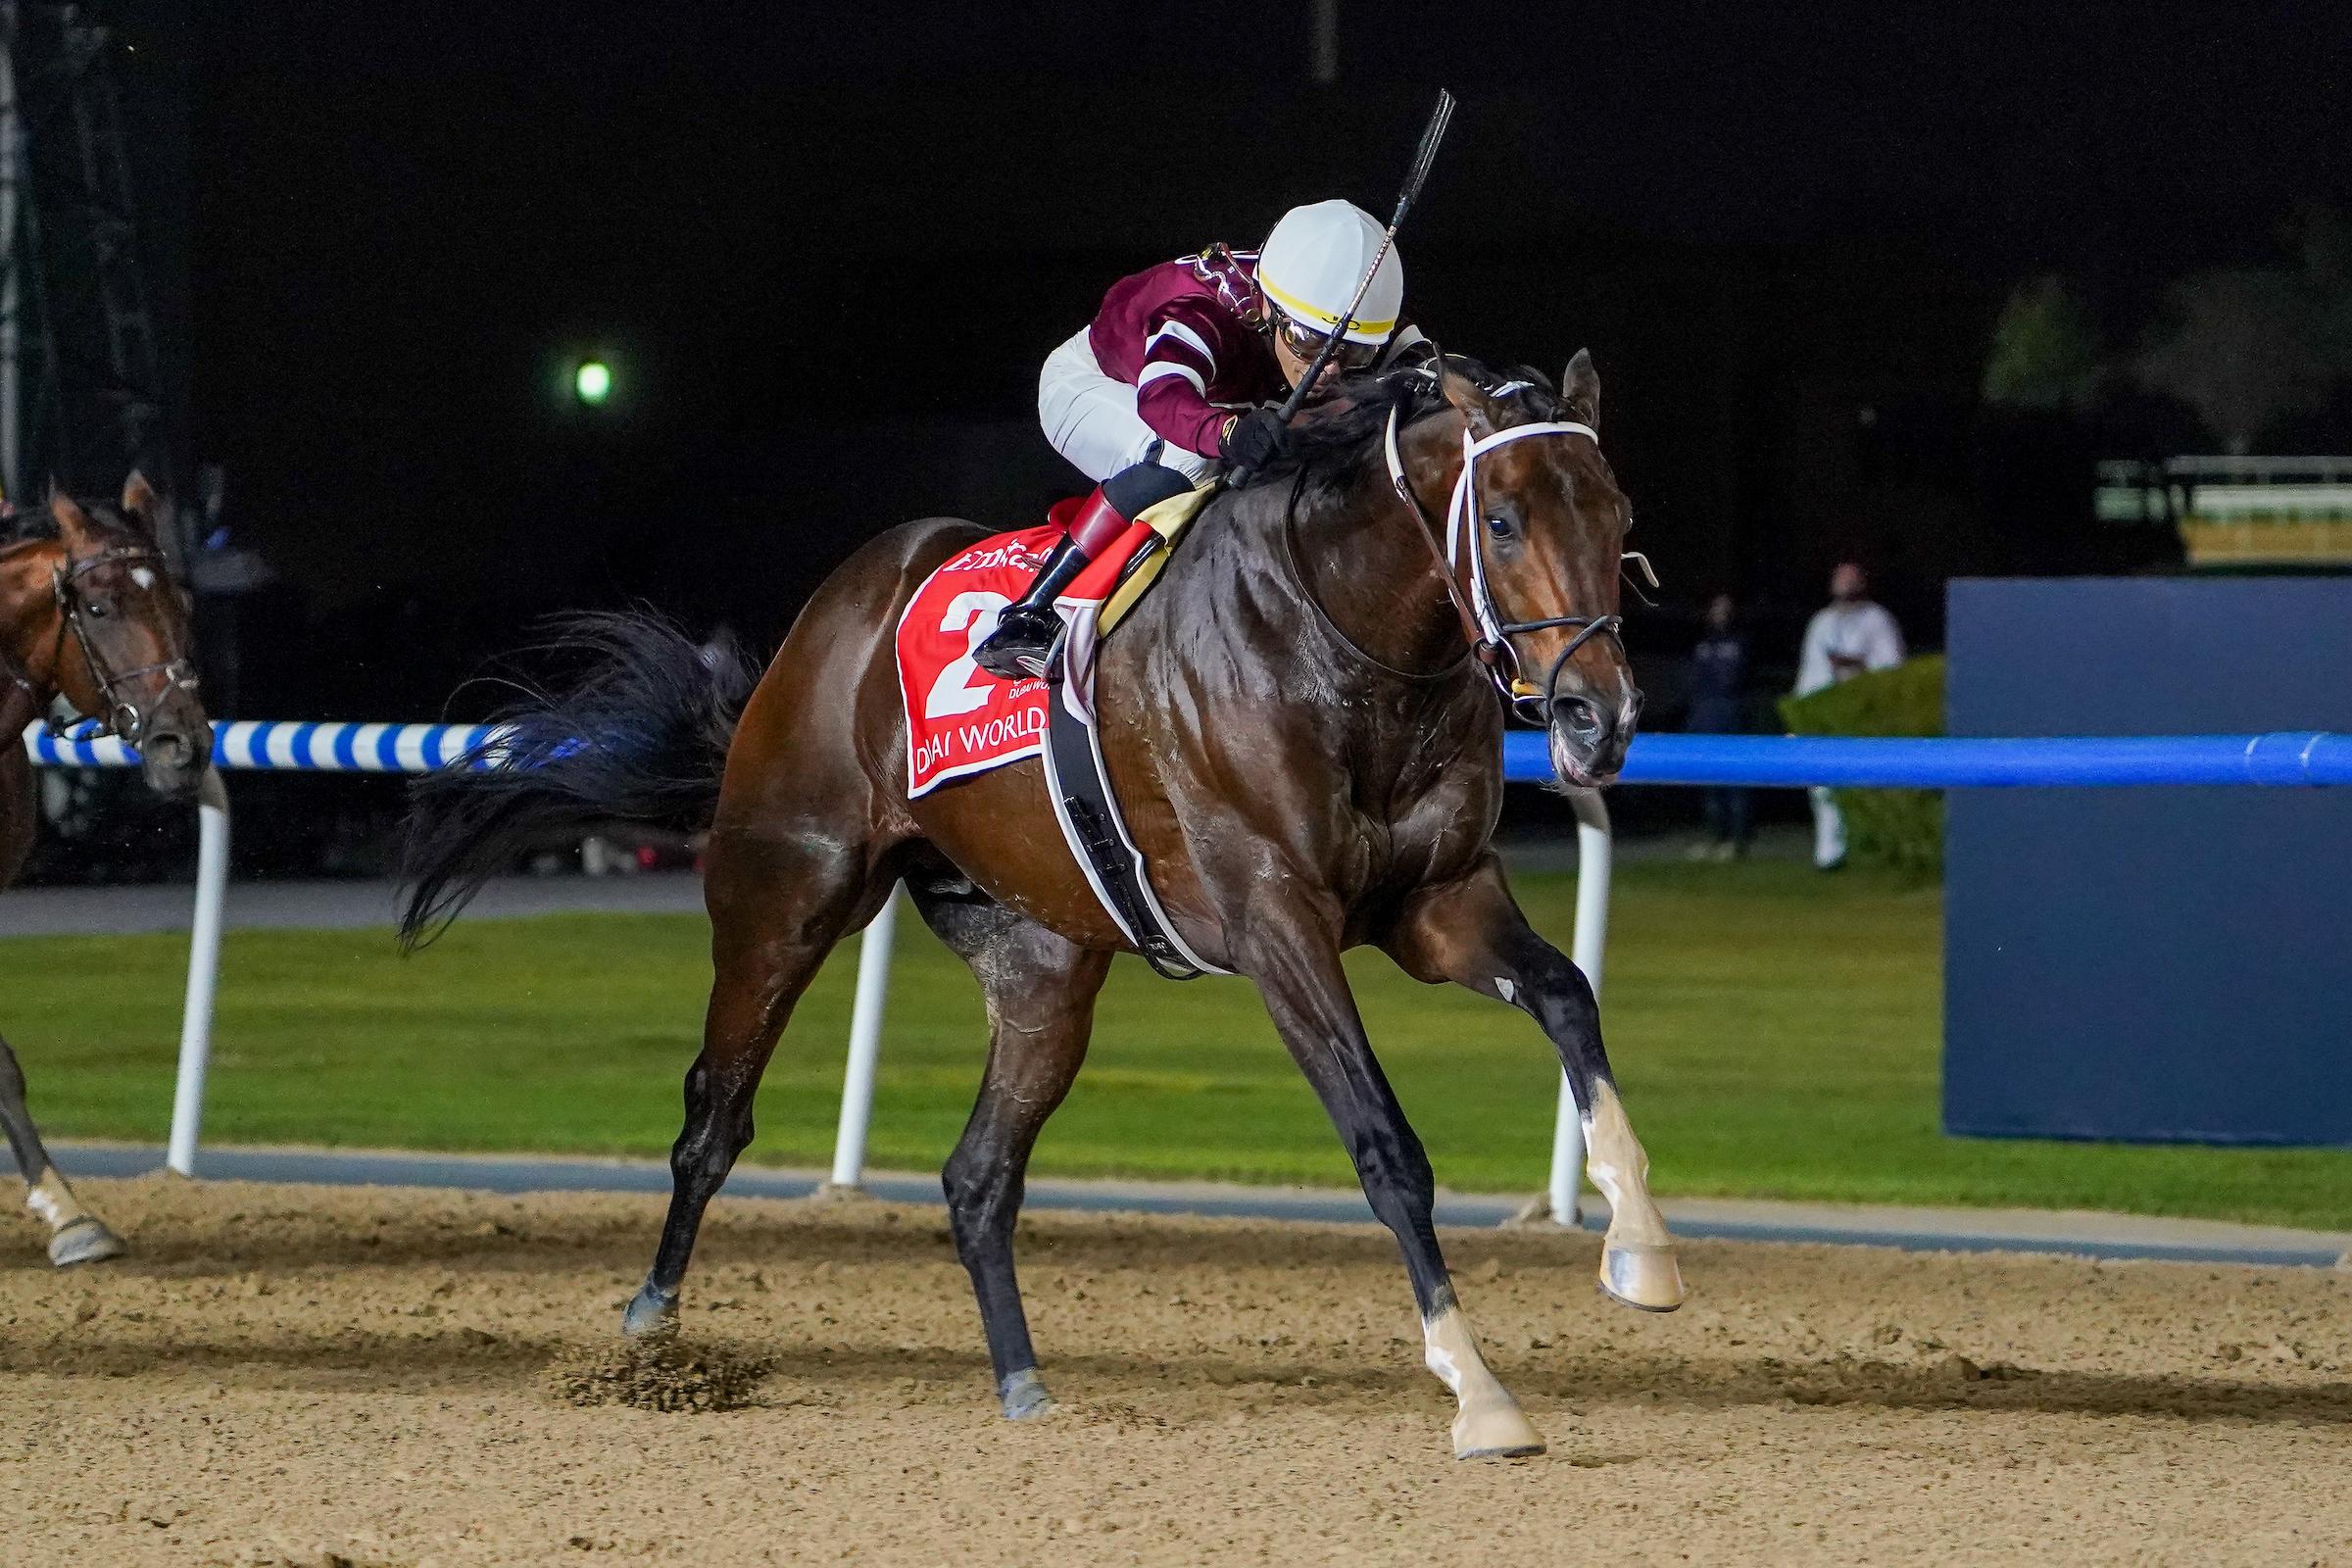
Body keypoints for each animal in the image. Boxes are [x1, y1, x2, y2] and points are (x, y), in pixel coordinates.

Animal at [401, 353, 1686, 1459]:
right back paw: (650, 1339)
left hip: (1042, 961)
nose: (1599, 714)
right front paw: (1479, 1391)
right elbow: (1386, 1145)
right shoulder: (1277, 923)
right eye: (1505, 519)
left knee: (977, 1176)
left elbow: (1568, 996)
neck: (1343, 636)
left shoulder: (1435, 901)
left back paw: (1023, 1381)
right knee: (714, 1118)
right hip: (788, 890)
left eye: (1618, 513)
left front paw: (1642, 1255)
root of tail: (836, 608)